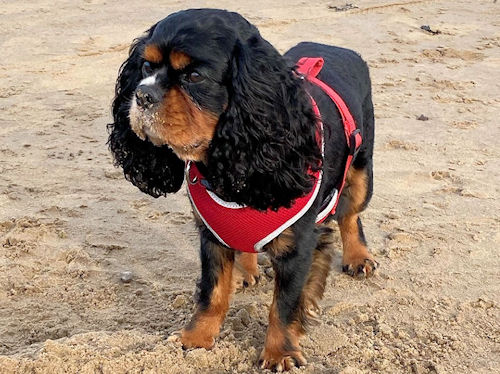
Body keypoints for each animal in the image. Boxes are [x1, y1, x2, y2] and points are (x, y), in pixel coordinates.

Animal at [107, 8, 376, 372]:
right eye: (146, 67)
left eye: (195, 76)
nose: (142, 95)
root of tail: (335, 48)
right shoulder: (211, 236)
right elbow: (212, 291)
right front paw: (197, 338)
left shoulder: (298, 246)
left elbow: (285, 304)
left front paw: (280, 352)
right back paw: (246, 271)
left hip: (362, 170)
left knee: (350, 215)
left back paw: (358, 257)